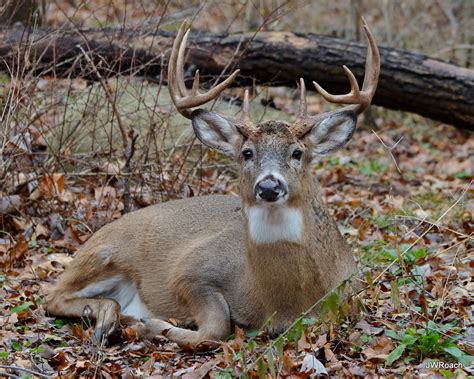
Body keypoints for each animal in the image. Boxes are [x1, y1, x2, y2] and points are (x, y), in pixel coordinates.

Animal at [46, 20, 380, 348]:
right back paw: (113, 322)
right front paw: (153, 325)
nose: (269, 187)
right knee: (53, 295)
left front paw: (150, 324)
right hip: (107, 252)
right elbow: (217, 327)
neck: (284, 303)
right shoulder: (189, 270)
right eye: (247, 153)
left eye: (297, 153)